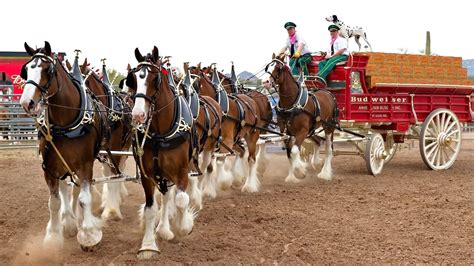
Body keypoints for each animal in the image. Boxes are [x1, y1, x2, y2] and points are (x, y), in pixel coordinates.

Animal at [18, 42, 105, 251]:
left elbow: (84, 198)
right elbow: (55, 201)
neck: (66, 123)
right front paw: (53, 236)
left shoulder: (85, 164)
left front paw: (89, 234)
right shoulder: (50, 167)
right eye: (27, 69)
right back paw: (69, 221)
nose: (26, 103)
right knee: (67, 189)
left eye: (47, 70)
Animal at [127, 46, 195, 258]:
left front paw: (184, 225)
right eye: (132, 79)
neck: (160, 133)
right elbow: (150, 208)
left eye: (155, 78)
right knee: (165, 196)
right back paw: (163, 228)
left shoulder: (182, 170)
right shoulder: (147, 175)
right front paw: (148, 245)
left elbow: (181, 200)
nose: (138, 115)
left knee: (172, 196)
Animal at [189, 64, 262, 193]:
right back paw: (238, 178)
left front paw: (223, 182)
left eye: (196, 84)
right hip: (235, 141)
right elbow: (209, 166)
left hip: (251, 136)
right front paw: (206, 189)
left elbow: (219, 161)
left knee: (251, 159)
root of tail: (251, 100)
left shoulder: (225, 141)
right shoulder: (212, 143)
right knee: (242, 151)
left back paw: (249, 186)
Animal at [264, 53, 338, 183]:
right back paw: (317, 163)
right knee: (317, 141)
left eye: (278, 68)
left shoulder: (302, 131)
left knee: (329, 149)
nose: (266, 82)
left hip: (329, 127)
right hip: (311, 130)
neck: (292, 104)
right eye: (268, 67)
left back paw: (325, 173)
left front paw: (300, 171)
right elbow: (289, 153)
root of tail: (328, 93)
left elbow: (294, 151)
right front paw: (291, 177)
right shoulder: (286, 133)